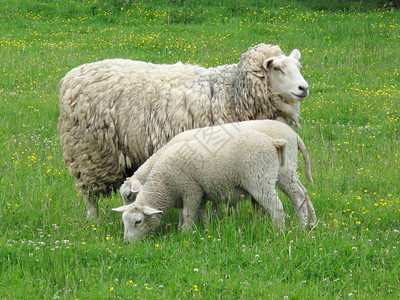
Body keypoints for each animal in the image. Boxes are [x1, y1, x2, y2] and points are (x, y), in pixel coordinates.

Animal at [58, 43, 310, 219]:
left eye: (299, 68)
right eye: (277, 68)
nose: (303, 88)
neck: (232, 93)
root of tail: (73, 76)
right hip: (90, 154)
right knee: (90, 195)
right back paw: (94, 220)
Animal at [112, 130, 288, 243]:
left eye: (138, 221)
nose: (126, 243)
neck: (164, 184)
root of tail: (272, 142)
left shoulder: (191, 191)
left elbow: (187, 214)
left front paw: (185, 233)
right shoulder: (200, 194)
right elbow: (196, 214)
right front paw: (201, 227)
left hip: (260, 179)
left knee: (277, 208)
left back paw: (278, 231)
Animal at [120, 119, 318, 227]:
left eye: (128, 195)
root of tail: (293, 134)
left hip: (282, 171)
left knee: (297, 195)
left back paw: (302, 224)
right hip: (288, 172)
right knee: (304, 193)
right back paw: (311, 222)